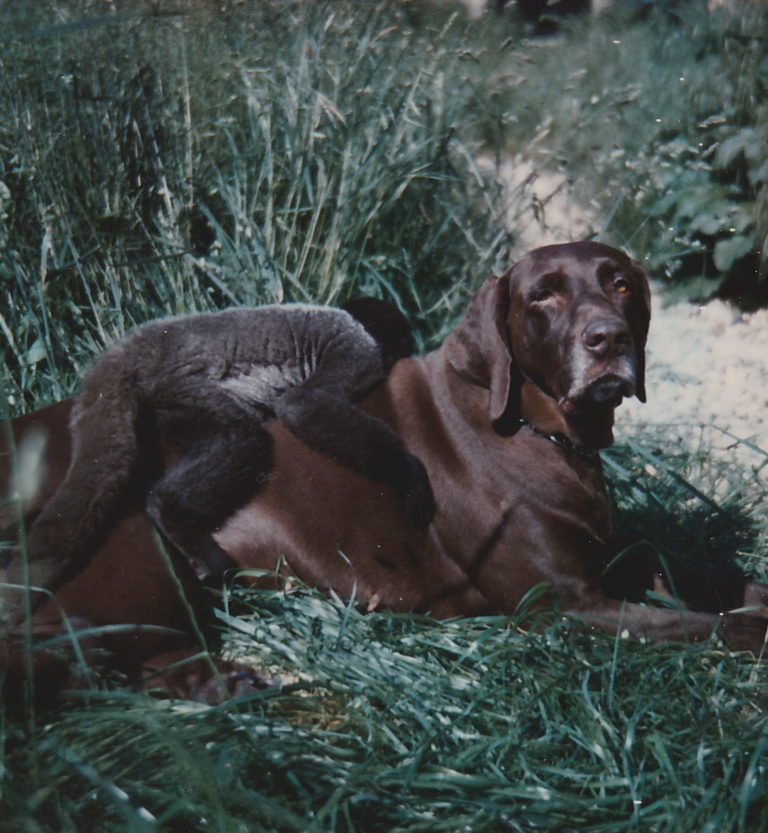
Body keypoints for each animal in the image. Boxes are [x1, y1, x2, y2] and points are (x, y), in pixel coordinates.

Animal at [0, 300, 435, 626]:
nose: (407, 348)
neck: (353, 319)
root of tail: (142, 343)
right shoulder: (357, 349)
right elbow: (302, 406)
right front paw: (408, 474)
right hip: (183, 386)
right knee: (241, 438)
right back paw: (171, 511)